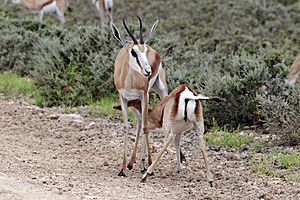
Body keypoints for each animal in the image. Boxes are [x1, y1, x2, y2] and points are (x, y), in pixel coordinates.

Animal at [110, 17, 168, 177]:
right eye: (133, 52)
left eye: (145, 51)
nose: (148, 71)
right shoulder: (123, 98)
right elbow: (126, 127)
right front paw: (122, 168)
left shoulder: (144, 95)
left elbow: (146, 128)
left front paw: (148, 165)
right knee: (140, 122)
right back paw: (132, 162)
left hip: (160, 91)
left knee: (148, 122)